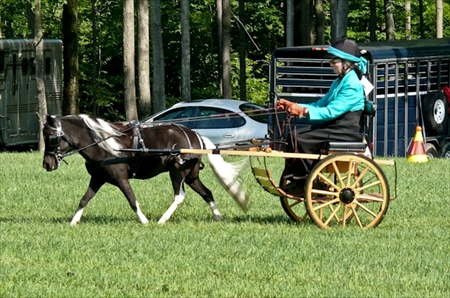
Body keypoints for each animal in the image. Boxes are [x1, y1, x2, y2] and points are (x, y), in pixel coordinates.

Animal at [42, 114, 248, 226]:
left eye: (51, 136)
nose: (46, 164)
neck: (103, 144)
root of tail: (195, 134)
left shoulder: (121, 179)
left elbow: (132, 200)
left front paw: (144, 221)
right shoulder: (97, 179)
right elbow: (84, 199)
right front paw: (73, 221)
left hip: (177, 172)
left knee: (180, 195)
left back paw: (162, 219)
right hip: (191, 176)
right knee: (207, 193)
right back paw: (217, 216)